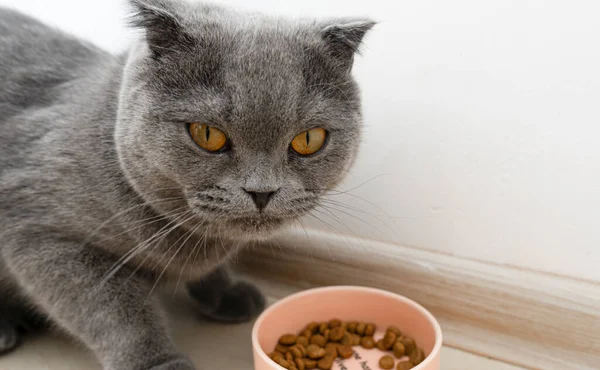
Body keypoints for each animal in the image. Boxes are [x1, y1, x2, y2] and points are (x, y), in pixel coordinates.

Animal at [0, 0, 372, 368]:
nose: (262, 191)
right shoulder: (42, 234)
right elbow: (115, 309)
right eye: (207, 134)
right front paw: (158, 361)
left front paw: (225, 293)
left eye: (309, 139)